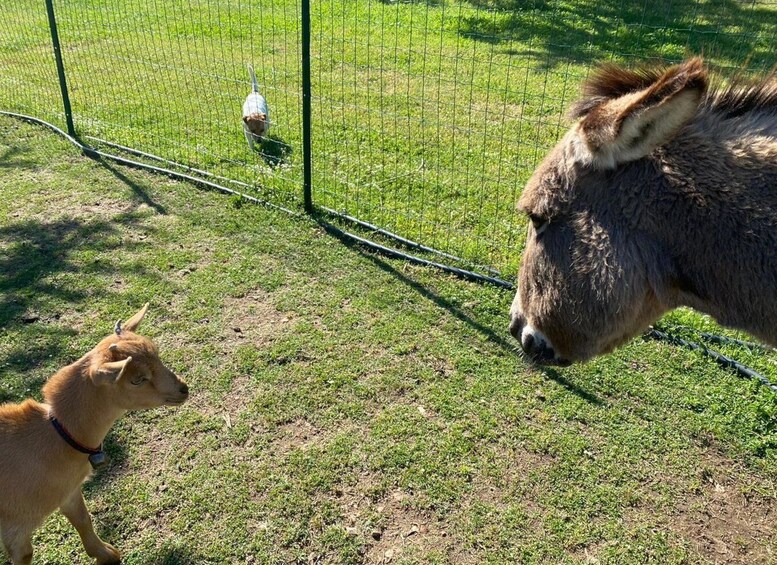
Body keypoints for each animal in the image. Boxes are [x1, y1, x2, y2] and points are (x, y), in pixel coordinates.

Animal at [0, 306, 188, 560]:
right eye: (137, 380)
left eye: (157, 356)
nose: (183, 389)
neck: (56, 434)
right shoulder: (15, 530)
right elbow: (27, 554)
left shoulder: (69, 491)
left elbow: (83, 520)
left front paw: (107, 555)